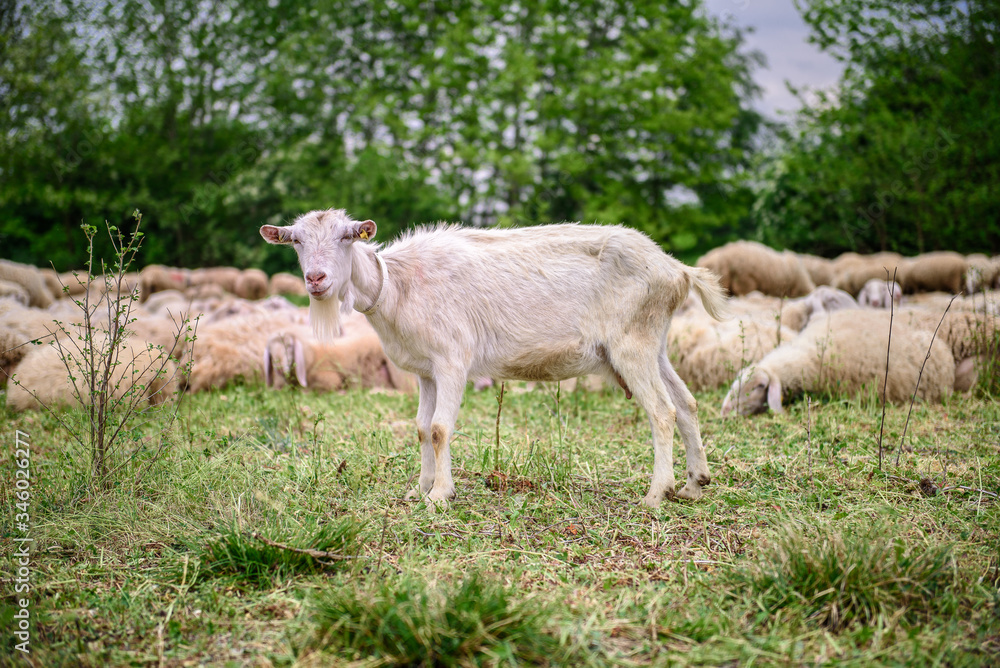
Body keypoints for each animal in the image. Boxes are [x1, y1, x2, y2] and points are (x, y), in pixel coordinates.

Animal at [261, 209, 728, 507]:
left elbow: (439, 429)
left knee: (662, 411)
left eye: (346, 236)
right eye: (296, 241)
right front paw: (420, 488)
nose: (316, 279)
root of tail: (676, 269)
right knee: (686, 403)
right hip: (654, 344)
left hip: (631, 343)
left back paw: (656, 494)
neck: (398, 285)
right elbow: (420, 428)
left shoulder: (452, 360)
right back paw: (695, 484)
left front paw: (440, 496)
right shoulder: (425, 371)